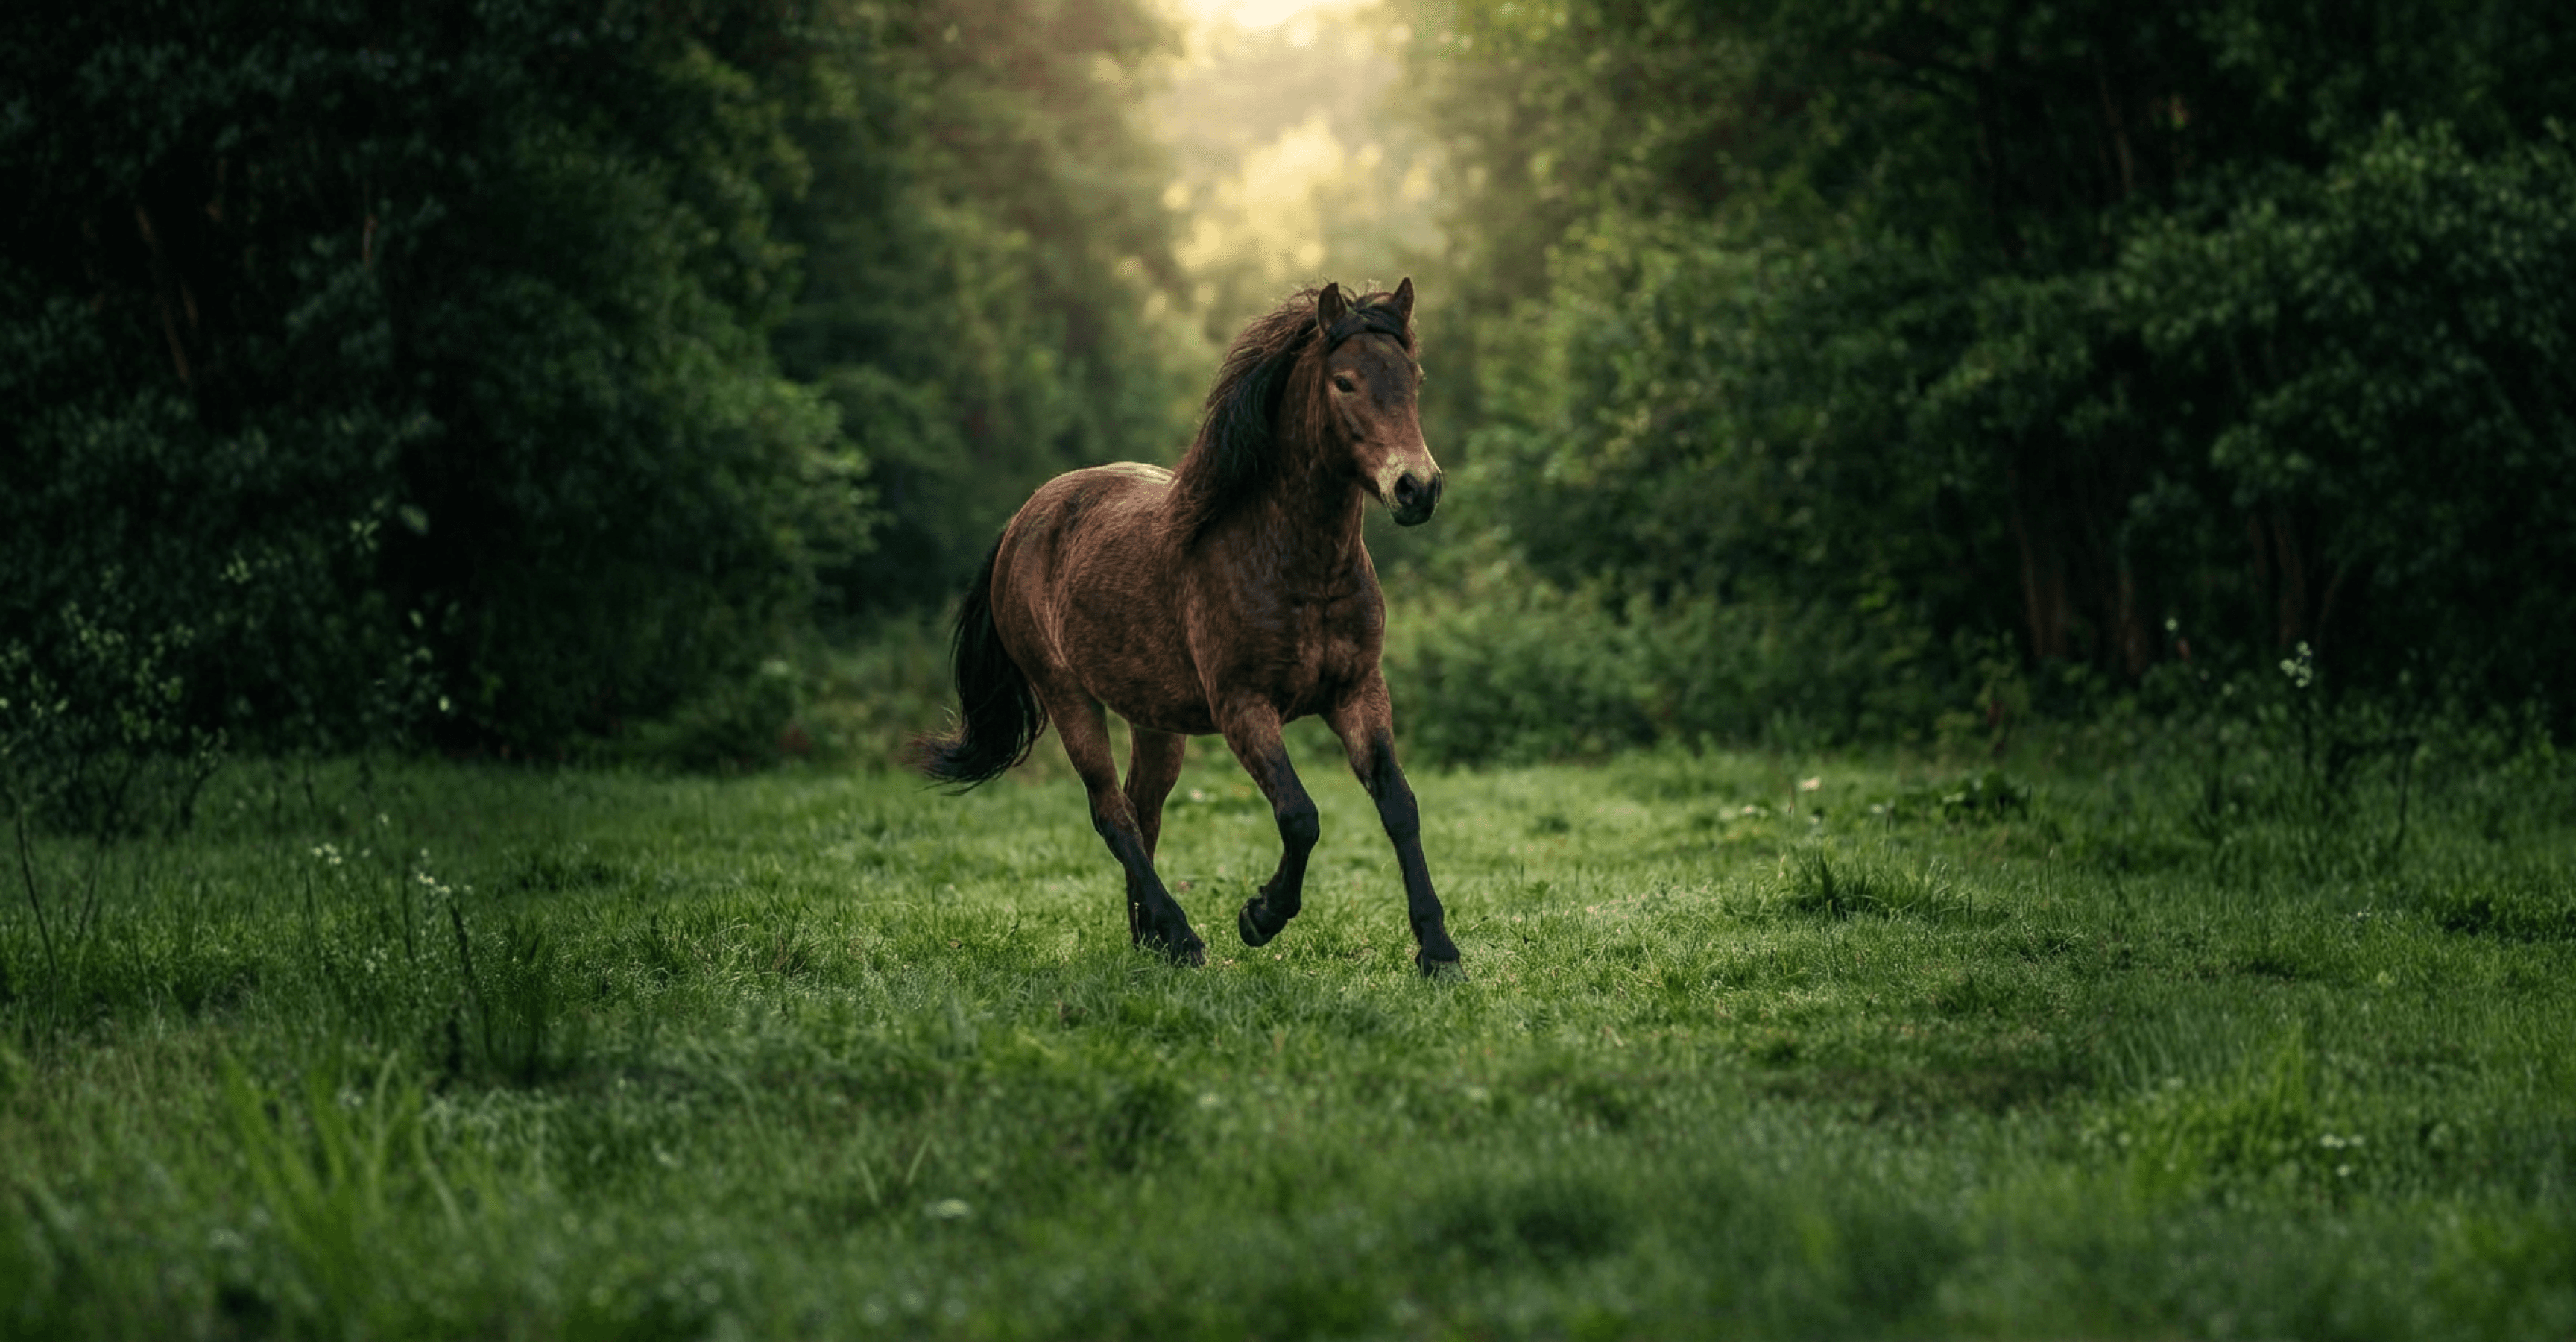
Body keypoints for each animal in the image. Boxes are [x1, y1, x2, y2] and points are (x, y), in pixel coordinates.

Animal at [914, 279, 1462, 976]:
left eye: (1413, 377)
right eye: (1344, 382)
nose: (1417, 488)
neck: (1295, 563)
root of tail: (1023, 521)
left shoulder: (1359, 693)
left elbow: (1400, 806)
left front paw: (1438, 950)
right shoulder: (1244, 707)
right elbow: (1300, 816)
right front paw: (1259, 917)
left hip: (1155, 722)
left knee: (1141, 811)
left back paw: (1150, 939)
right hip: (1068, 697)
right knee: (1113, 814)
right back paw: (1181, 937)